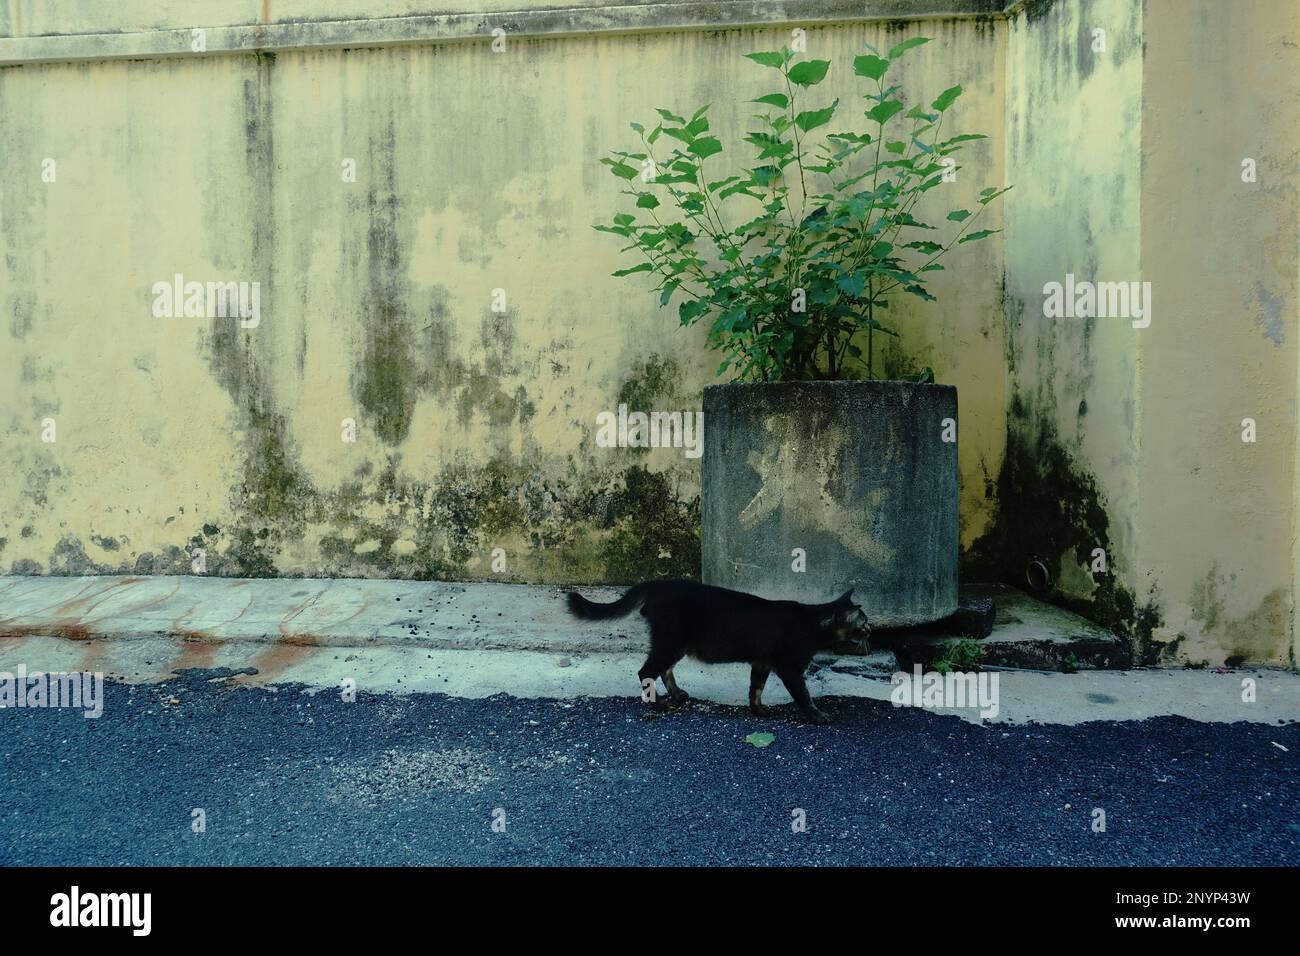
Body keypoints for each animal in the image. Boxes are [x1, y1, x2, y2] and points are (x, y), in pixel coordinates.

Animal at [564, 574, 868, 723]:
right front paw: (817, 716)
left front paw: (758, 710)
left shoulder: (761, 663)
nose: (871, 634)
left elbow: (755, 688)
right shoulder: (790, 668)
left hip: (675, 644)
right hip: (670, 641)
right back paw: (658, 703)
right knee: (646, 671)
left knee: (664, 670)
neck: (811, 623)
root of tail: (657, 584)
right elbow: (803, 695)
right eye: (864, 626)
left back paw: (677, 694)